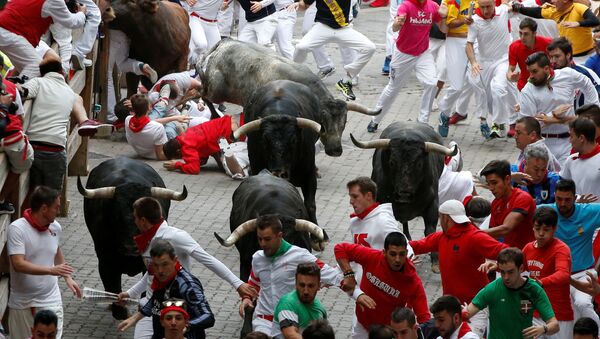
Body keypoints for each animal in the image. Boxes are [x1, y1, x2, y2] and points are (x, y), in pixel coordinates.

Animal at [77, 158, 186, 320]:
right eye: (116, 214)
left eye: (148, 218)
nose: (130, 247)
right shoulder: (105, 261)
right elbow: (112, 285)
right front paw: (119, 311)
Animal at [199, 38, 382, 157]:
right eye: (323, 124)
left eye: (344, 123)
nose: (336, 150)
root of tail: (223, 43)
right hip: (216, 90)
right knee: (202, 92)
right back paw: (214, 114)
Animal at [350, 121, 458, 268]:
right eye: (392, 162)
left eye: (419, 164)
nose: (404, 194)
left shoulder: (433, 204)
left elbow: (430, 231)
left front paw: (435, 261)